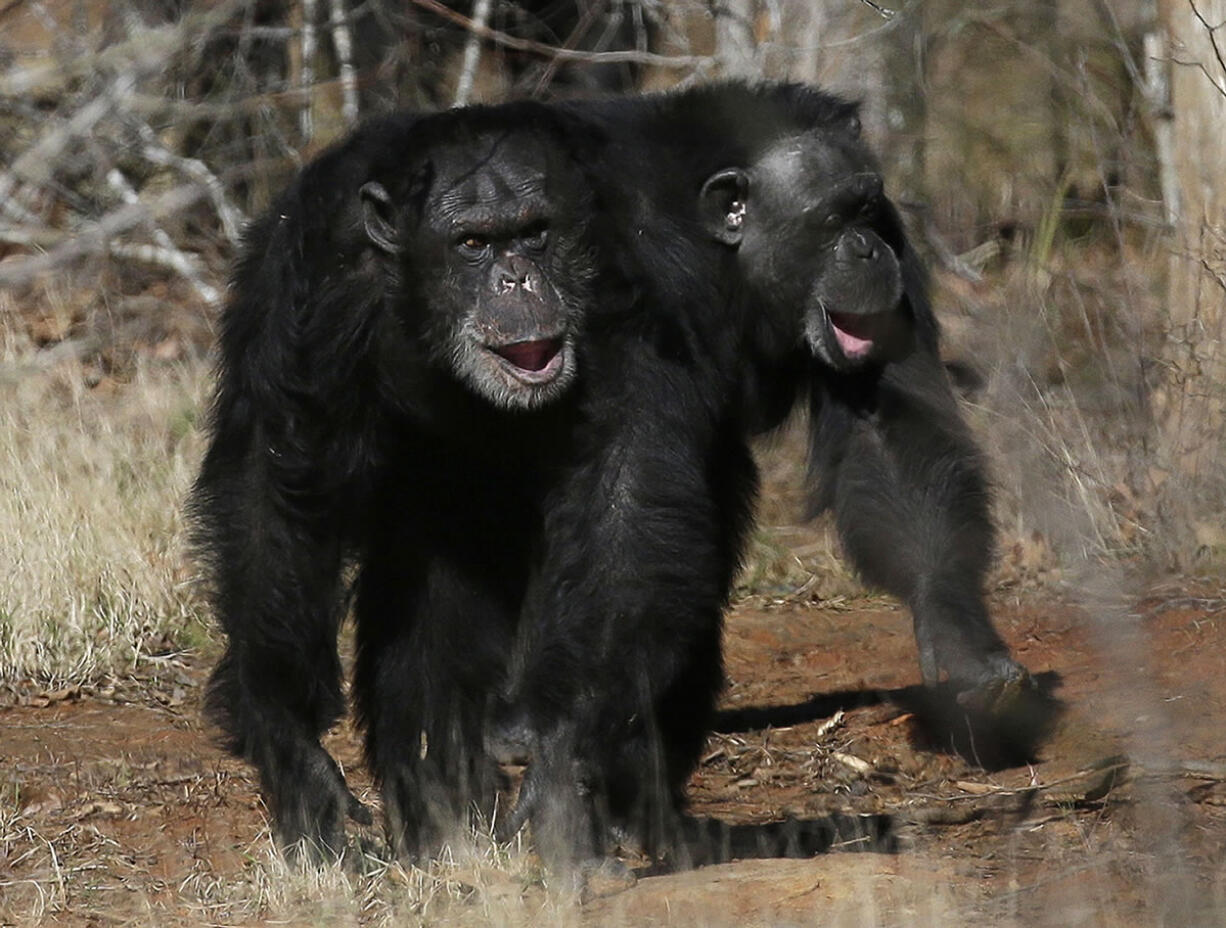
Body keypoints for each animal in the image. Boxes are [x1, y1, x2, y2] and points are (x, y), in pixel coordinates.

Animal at [187, 99, 603, 853]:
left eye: (536, 234)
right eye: (473, 243)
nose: (519, 279)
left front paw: (560, 754)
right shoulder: (315, 278)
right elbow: (283, 488)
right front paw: (290, 745)